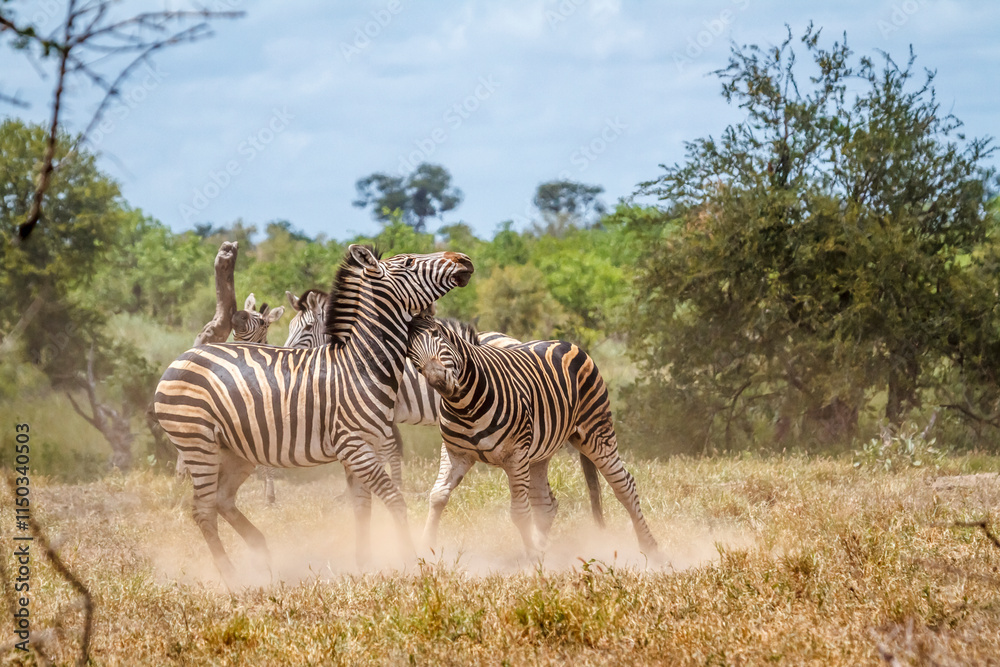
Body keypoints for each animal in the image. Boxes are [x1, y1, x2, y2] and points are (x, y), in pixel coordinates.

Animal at [406, 316, 659, 560]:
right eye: (410, 353)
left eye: (437, 335)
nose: (439, 381)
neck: (465, 405)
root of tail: (564, 342)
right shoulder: (455, 453)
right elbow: (437, 496)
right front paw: (426, 547)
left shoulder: (516, 455)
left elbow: (519, 512)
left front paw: (530, 559)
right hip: (539, 453)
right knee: (545, 504)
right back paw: (543, 548)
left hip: (597, 433)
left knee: (625, 485)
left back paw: (650, 547)